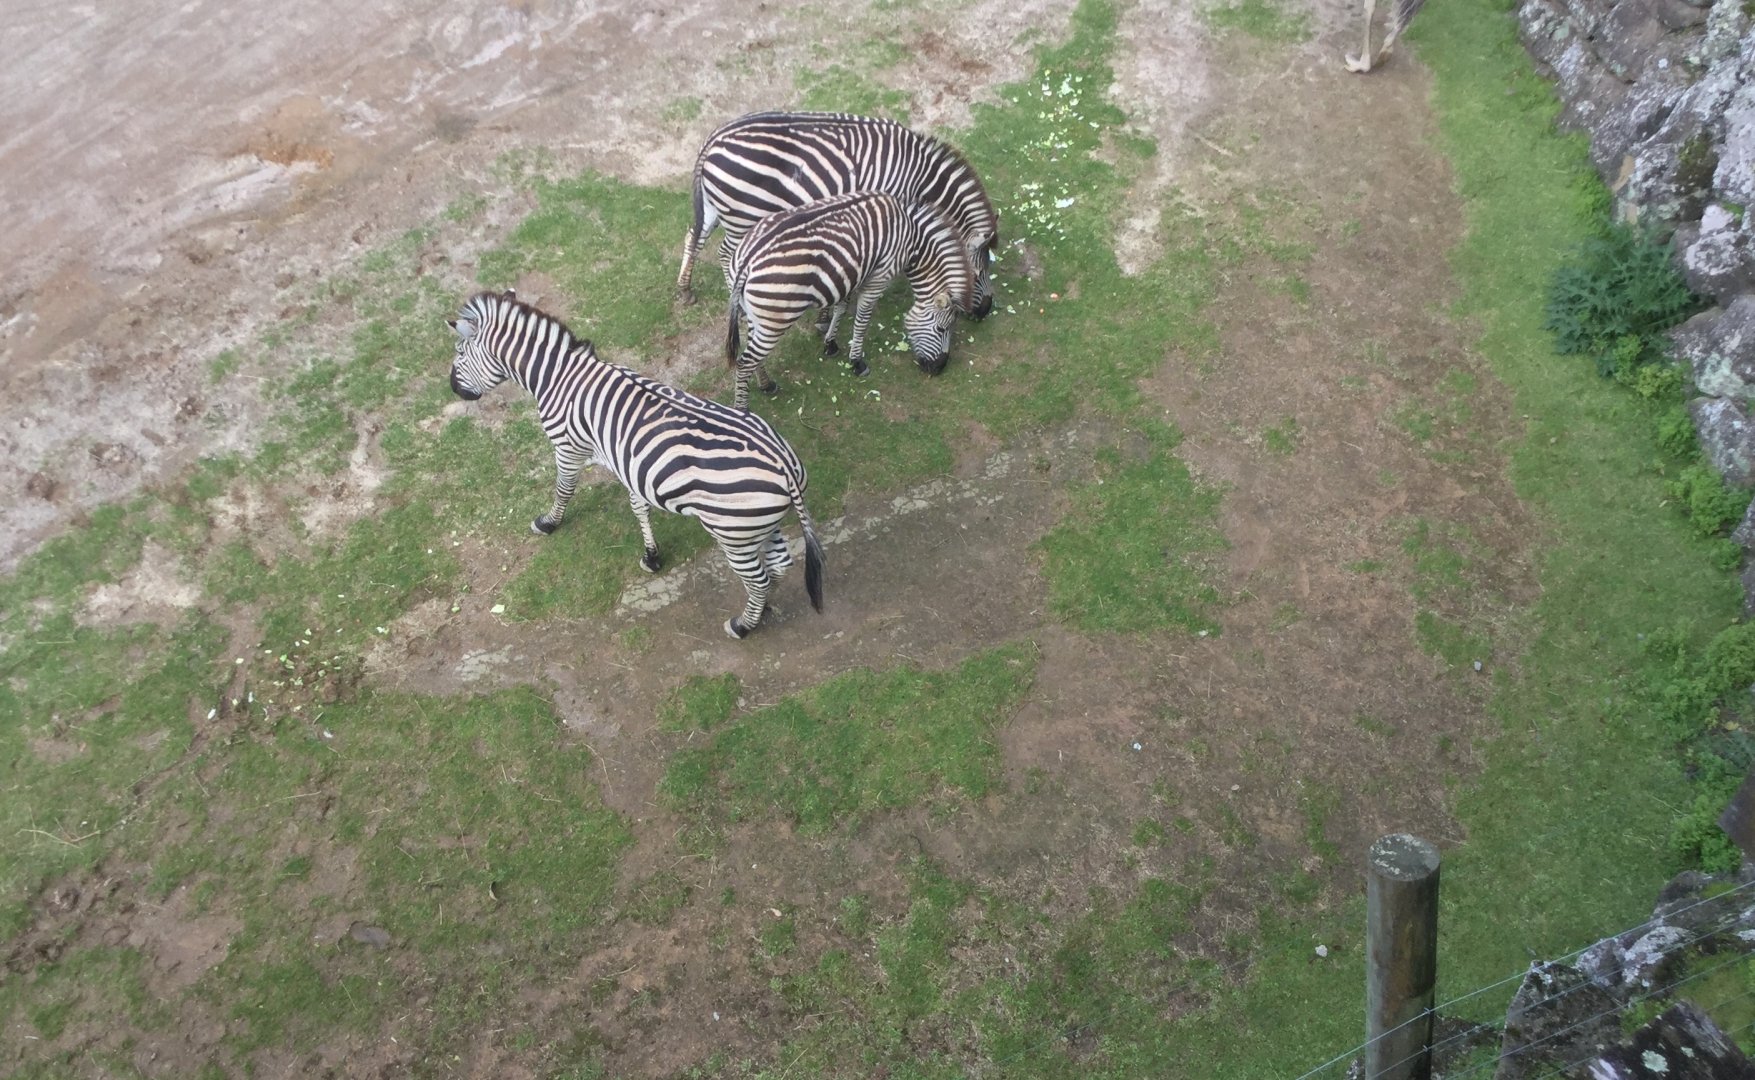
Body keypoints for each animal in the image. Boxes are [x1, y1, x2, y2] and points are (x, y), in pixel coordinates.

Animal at [446, 289, 825, 639]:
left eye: (460, 353)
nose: (452, 388)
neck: (558, 376)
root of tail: (786, 466)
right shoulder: (630, 463)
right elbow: (638, 505)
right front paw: (652, 555)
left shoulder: (567, 447)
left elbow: (564, 489)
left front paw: (549, 523)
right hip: (755, 527)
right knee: (777, 566)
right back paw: (762, 610)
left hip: (733, 534)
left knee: (759, 578)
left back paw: (743, 625)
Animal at [676, 110, 1000, 320]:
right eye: (979, 272)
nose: (985, 310)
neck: (920, 177)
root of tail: (712, 140)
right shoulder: (887, 202)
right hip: (743, 214)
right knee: (725, 253)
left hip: (716, 205)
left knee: (694, 236)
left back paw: (685, 290)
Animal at [724, 191, 976, 411]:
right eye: (942, 329)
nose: (939, 368)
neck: (912, 237)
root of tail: (747, 260)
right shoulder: (878, 277)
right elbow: (862, 319)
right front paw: (856, 362)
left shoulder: (850, 274)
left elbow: (841, 308)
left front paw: (830, 344)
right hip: (775, 320)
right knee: (745, 363)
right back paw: (743, 412)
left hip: (756, 314)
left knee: (750, 353)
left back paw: (766, 384)